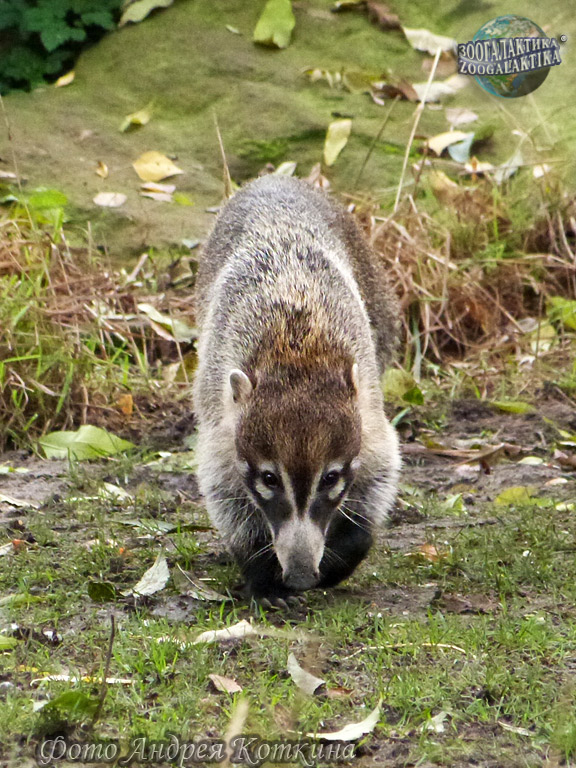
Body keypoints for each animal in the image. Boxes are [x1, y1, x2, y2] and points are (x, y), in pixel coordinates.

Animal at [193, 174, 400, 606]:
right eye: (270, 479)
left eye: (331, 478)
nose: (302, 576)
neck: (297, 353)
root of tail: (273, 178)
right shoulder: (219, 409)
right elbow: (222, 487)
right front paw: (261, 572)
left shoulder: (368, 404)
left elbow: (381, 470)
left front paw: (344, 552)